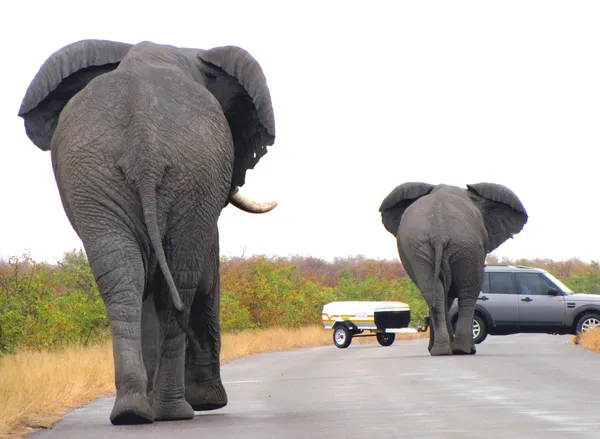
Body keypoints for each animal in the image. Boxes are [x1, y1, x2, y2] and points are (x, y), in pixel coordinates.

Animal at [18, 40, 278, 426]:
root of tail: (143, 140)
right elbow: (206, 271)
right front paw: (208, 402)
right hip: (190, 176)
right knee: (181, 278)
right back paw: (175, 411)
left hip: (96, 177)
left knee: (123, 279)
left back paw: (132, 411)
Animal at [382, 182, 528, 358]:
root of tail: (439, 231)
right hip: (467, 246)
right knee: (468, 293)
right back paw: (465, 350)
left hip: (419, 248)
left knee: (433, 293)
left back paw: (440, 351)